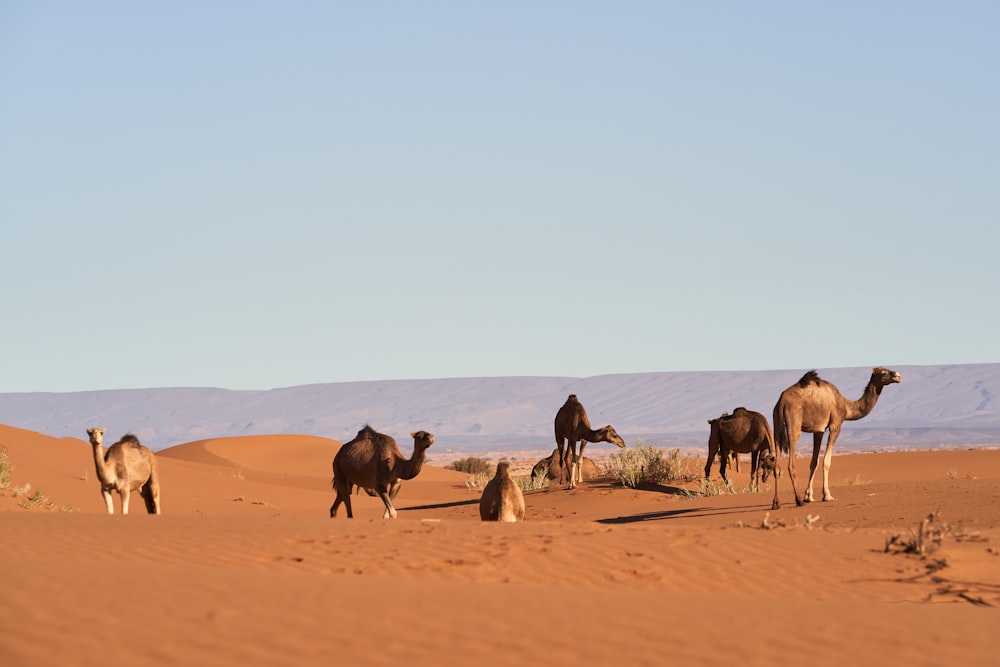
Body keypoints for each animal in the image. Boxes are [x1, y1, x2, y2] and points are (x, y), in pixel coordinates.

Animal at [768, 368, 904, 508]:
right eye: (883, 372)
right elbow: (826, 462)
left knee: (776, 466)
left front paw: (809, 496)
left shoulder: (819, 430)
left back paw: (776, 503)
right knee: (791, 464)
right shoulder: (835, 425)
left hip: (776, 423)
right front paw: (827, 496)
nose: (898, 376)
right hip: (794, 422)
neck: (846, 406)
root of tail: (782, 402)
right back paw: (798, 500)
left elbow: (814, 462)